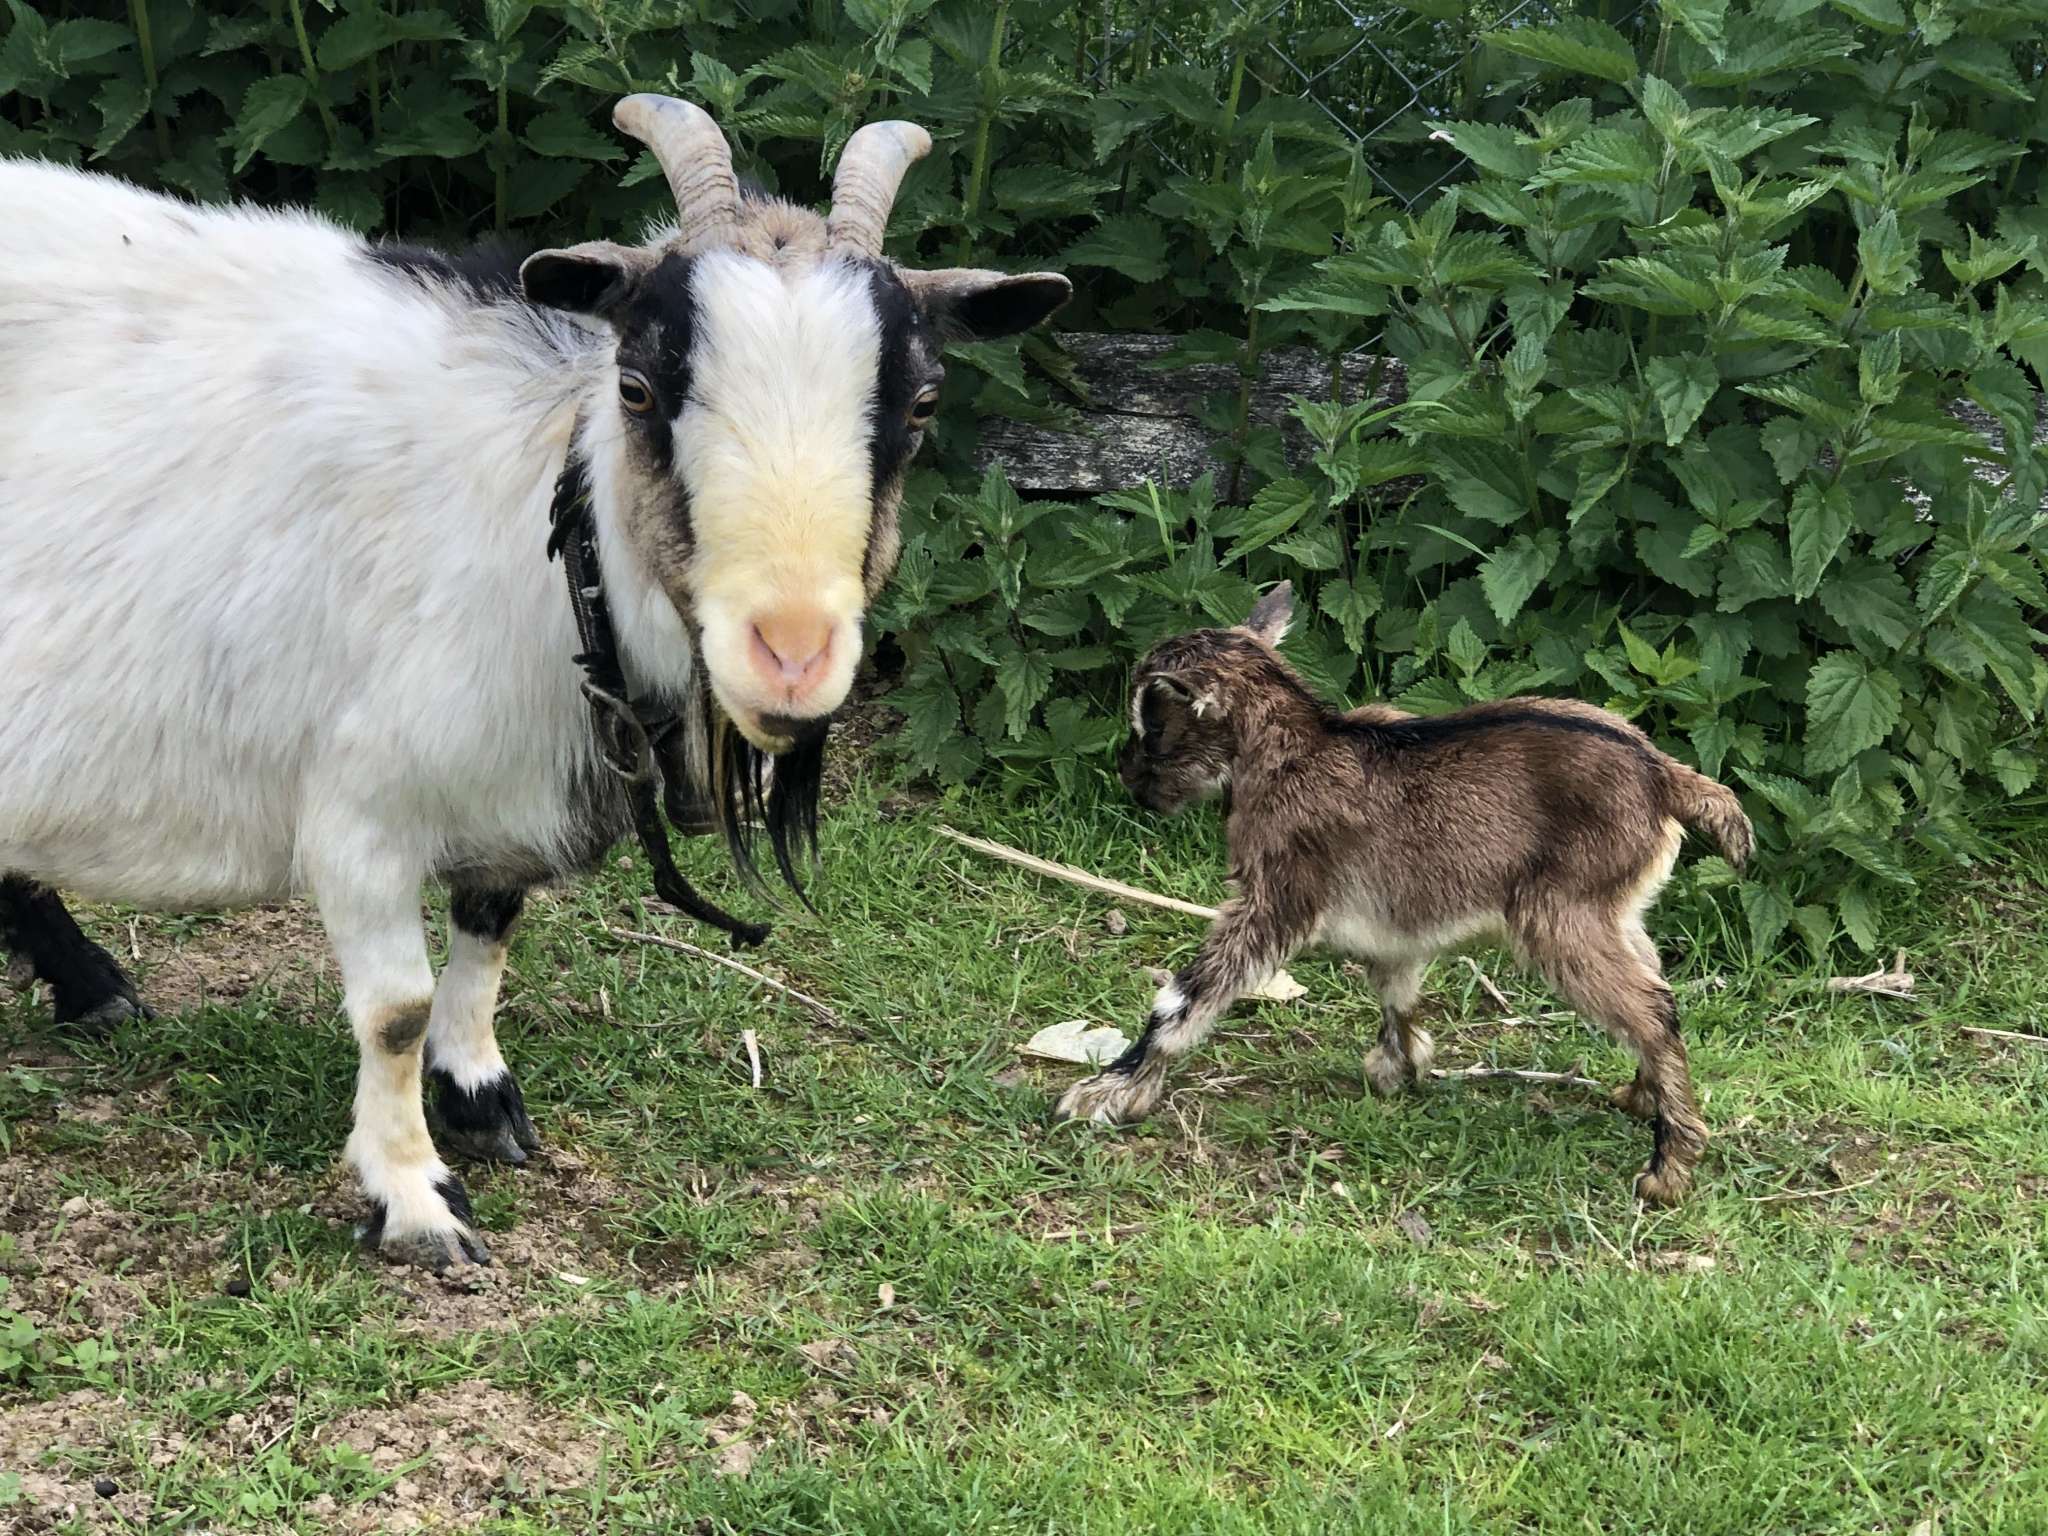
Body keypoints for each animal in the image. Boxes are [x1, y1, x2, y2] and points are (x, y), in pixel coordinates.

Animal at [0, 97, 1070, 1268]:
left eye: (920, 403)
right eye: (638, 387)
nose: (789, 654)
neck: (542, 528)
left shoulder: (503, 790)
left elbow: (489, 929)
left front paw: (477, 1096)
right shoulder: (359, 809)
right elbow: (395, 1010)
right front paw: (415, 1199)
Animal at [1056, 583, 1753, 1204]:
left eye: (1151, 724)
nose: (1129, 778)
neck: (1292, 750)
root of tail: (1663, 776)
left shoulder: (1276, 898)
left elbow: (1185, 997)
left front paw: (1110, 1093)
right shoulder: (1393, 918)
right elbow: (1395, 985)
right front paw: (1400, 1067)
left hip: (1560, 914)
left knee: (1652, 1011)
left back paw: (1669, 1168)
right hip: (1617, 910)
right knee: (1658, 989)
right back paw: (1641, 1098)